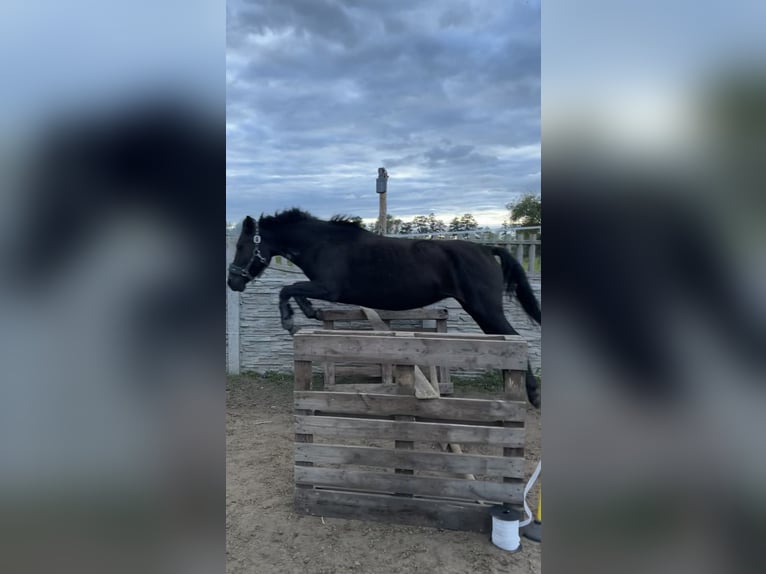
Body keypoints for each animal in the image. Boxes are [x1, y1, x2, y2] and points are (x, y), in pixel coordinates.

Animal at [227, 209, 542, 408]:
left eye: (242, 245)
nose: (233, 281)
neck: (324, 244)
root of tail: (487, 249)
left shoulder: (329, 288)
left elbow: (287, 288)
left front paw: (290, 320)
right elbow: (292, 289)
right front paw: (307, 311)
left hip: (485, 308)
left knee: (514, 339)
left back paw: (533, 395)